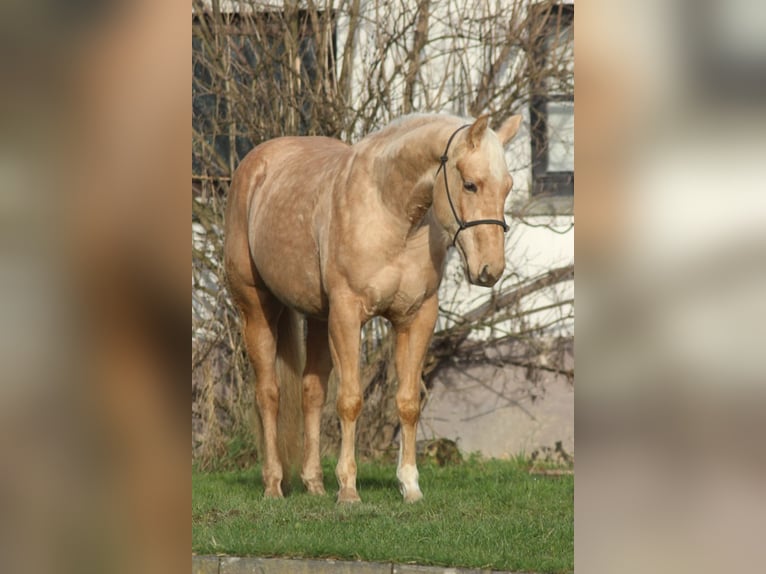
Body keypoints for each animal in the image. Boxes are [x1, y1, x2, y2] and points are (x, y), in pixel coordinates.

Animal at [224, 112, 522, 503]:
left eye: (508, 187)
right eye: (471, 185)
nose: (490, 270)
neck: (391, 213)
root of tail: (255, 164)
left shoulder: (416, 317)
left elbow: (408, 403)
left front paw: (410, 486)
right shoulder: (348, 315)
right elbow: (351, 400)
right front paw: (349, 491)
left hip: (318, 318)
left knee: (311, 394)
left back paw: (314, 485)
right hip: (257, 310)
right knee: (269, 394)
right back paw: (273, 485)